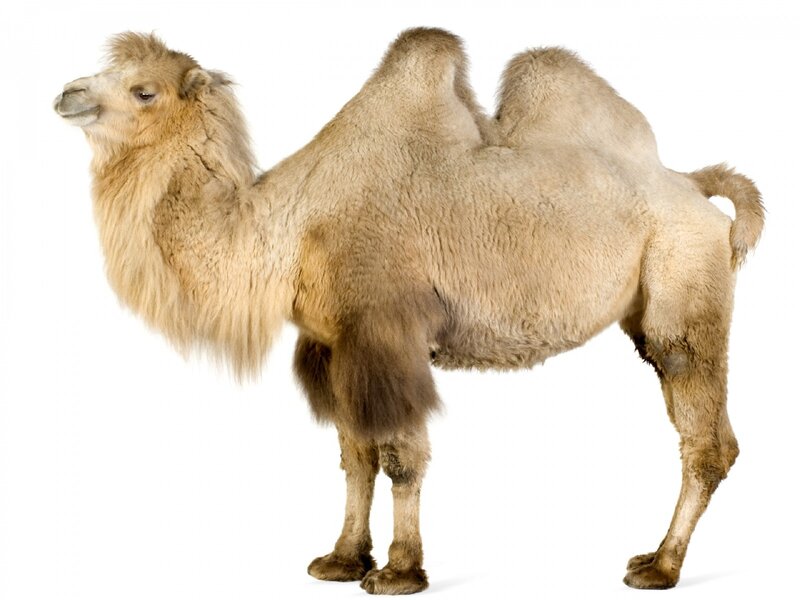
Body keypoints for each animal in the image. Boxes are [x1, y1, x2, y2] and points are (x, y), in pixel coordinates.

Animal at [54, 28, 764, 594]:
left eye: (144, 91)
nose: (67, 93)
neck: (289, 228)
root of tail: (696, 189)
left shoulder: (386, 334)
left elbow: (399, 455)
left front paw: (399, 571)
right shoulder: (334, 345)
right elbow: (355, 455)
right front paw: (342, 559)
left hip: (683, 285)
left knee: (703, 431)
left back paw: (659, 567)